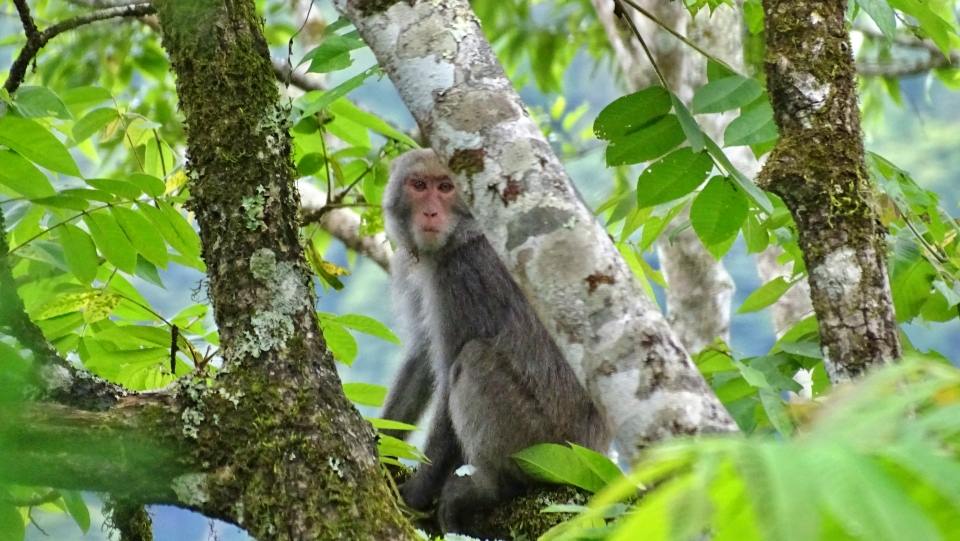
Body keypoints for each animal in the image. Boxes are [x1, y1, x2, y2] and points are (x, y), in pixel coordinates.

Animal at [380, 148, 612, 536]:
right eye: (419, 185)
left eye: (446, 187)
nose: (430, 212)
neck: (460, 237)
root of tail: (597, 452)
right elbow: (421, 359)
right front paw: (380, 443)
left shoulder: (464, 275)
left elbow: (447, 374)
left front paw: (417, 493)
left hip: (544, 442)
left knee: (473, 359)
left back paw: (493, 487)